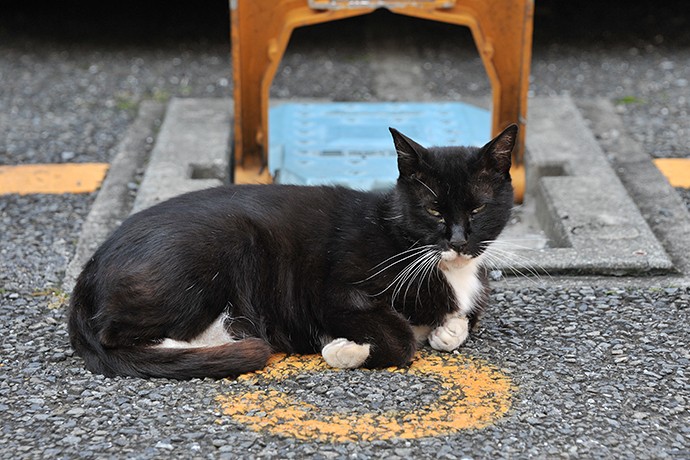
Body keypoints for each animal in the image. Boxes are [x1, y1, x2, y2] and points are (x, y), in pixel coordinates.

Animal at [67, 124, 512, 380]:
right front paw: (345, 350)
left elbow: (462, 322)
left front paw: (446, 330)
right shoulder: (335, 291)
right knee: (114, 336)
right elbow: (401, 339)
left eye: (478, 209)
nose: (458, 240)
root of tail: (88, 272)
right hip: (225, 242)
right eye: (434, 209)